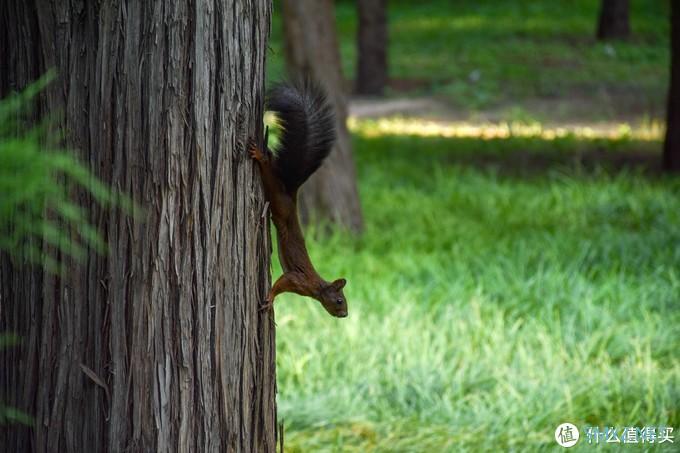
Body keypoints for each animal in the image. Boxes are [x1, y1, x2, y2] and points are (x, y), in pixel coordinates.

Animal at [247, 78, 348, 318]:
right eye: (339, 300)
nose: (345, 314)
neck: (317, 286)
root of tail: (292, 192)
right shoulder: (297, 279)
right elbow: (280, 284)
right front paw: (270, 299)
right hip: (279, 199)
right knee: (268, 171)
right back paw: (261, 156)